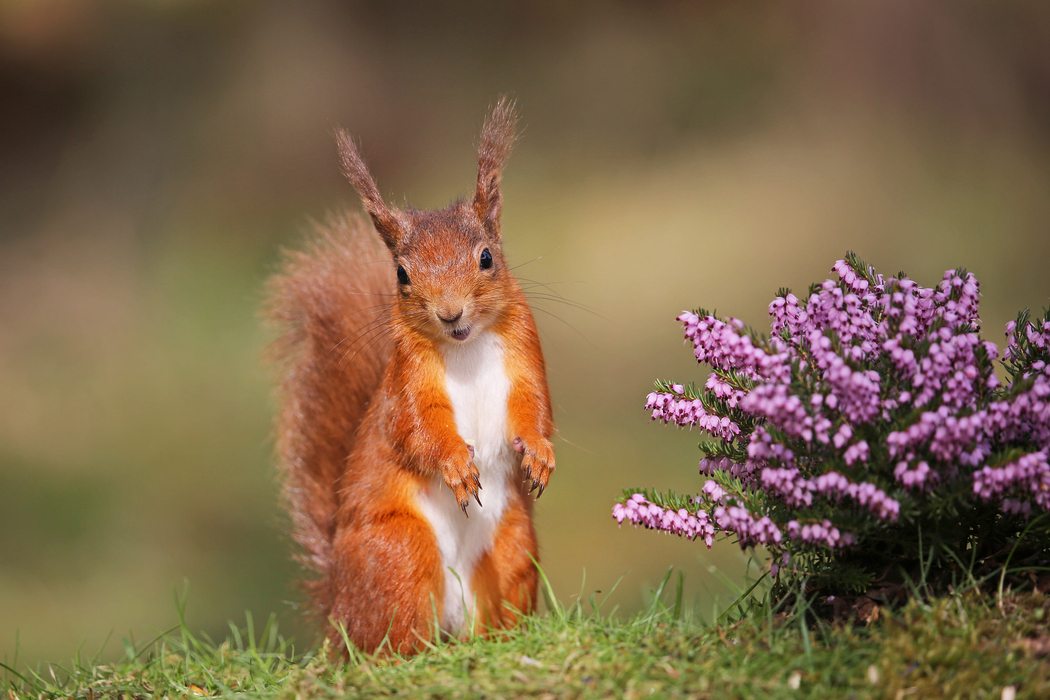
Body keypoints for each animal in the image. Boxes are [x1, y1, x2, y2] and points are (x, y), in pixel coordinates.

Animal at [266, 99, 554, 659]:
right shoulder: (407, 382)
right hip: (401, 552)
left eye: (487, 257)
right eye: (401, 274)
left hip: (512, 546)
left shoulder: (525, 355)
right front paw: (457, 466)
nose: (450, 313)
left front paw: (539, 454)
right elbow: (416, 429)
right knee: (394, 640)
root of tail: (337, 606)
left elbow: (534, 408)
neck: (465, 348)